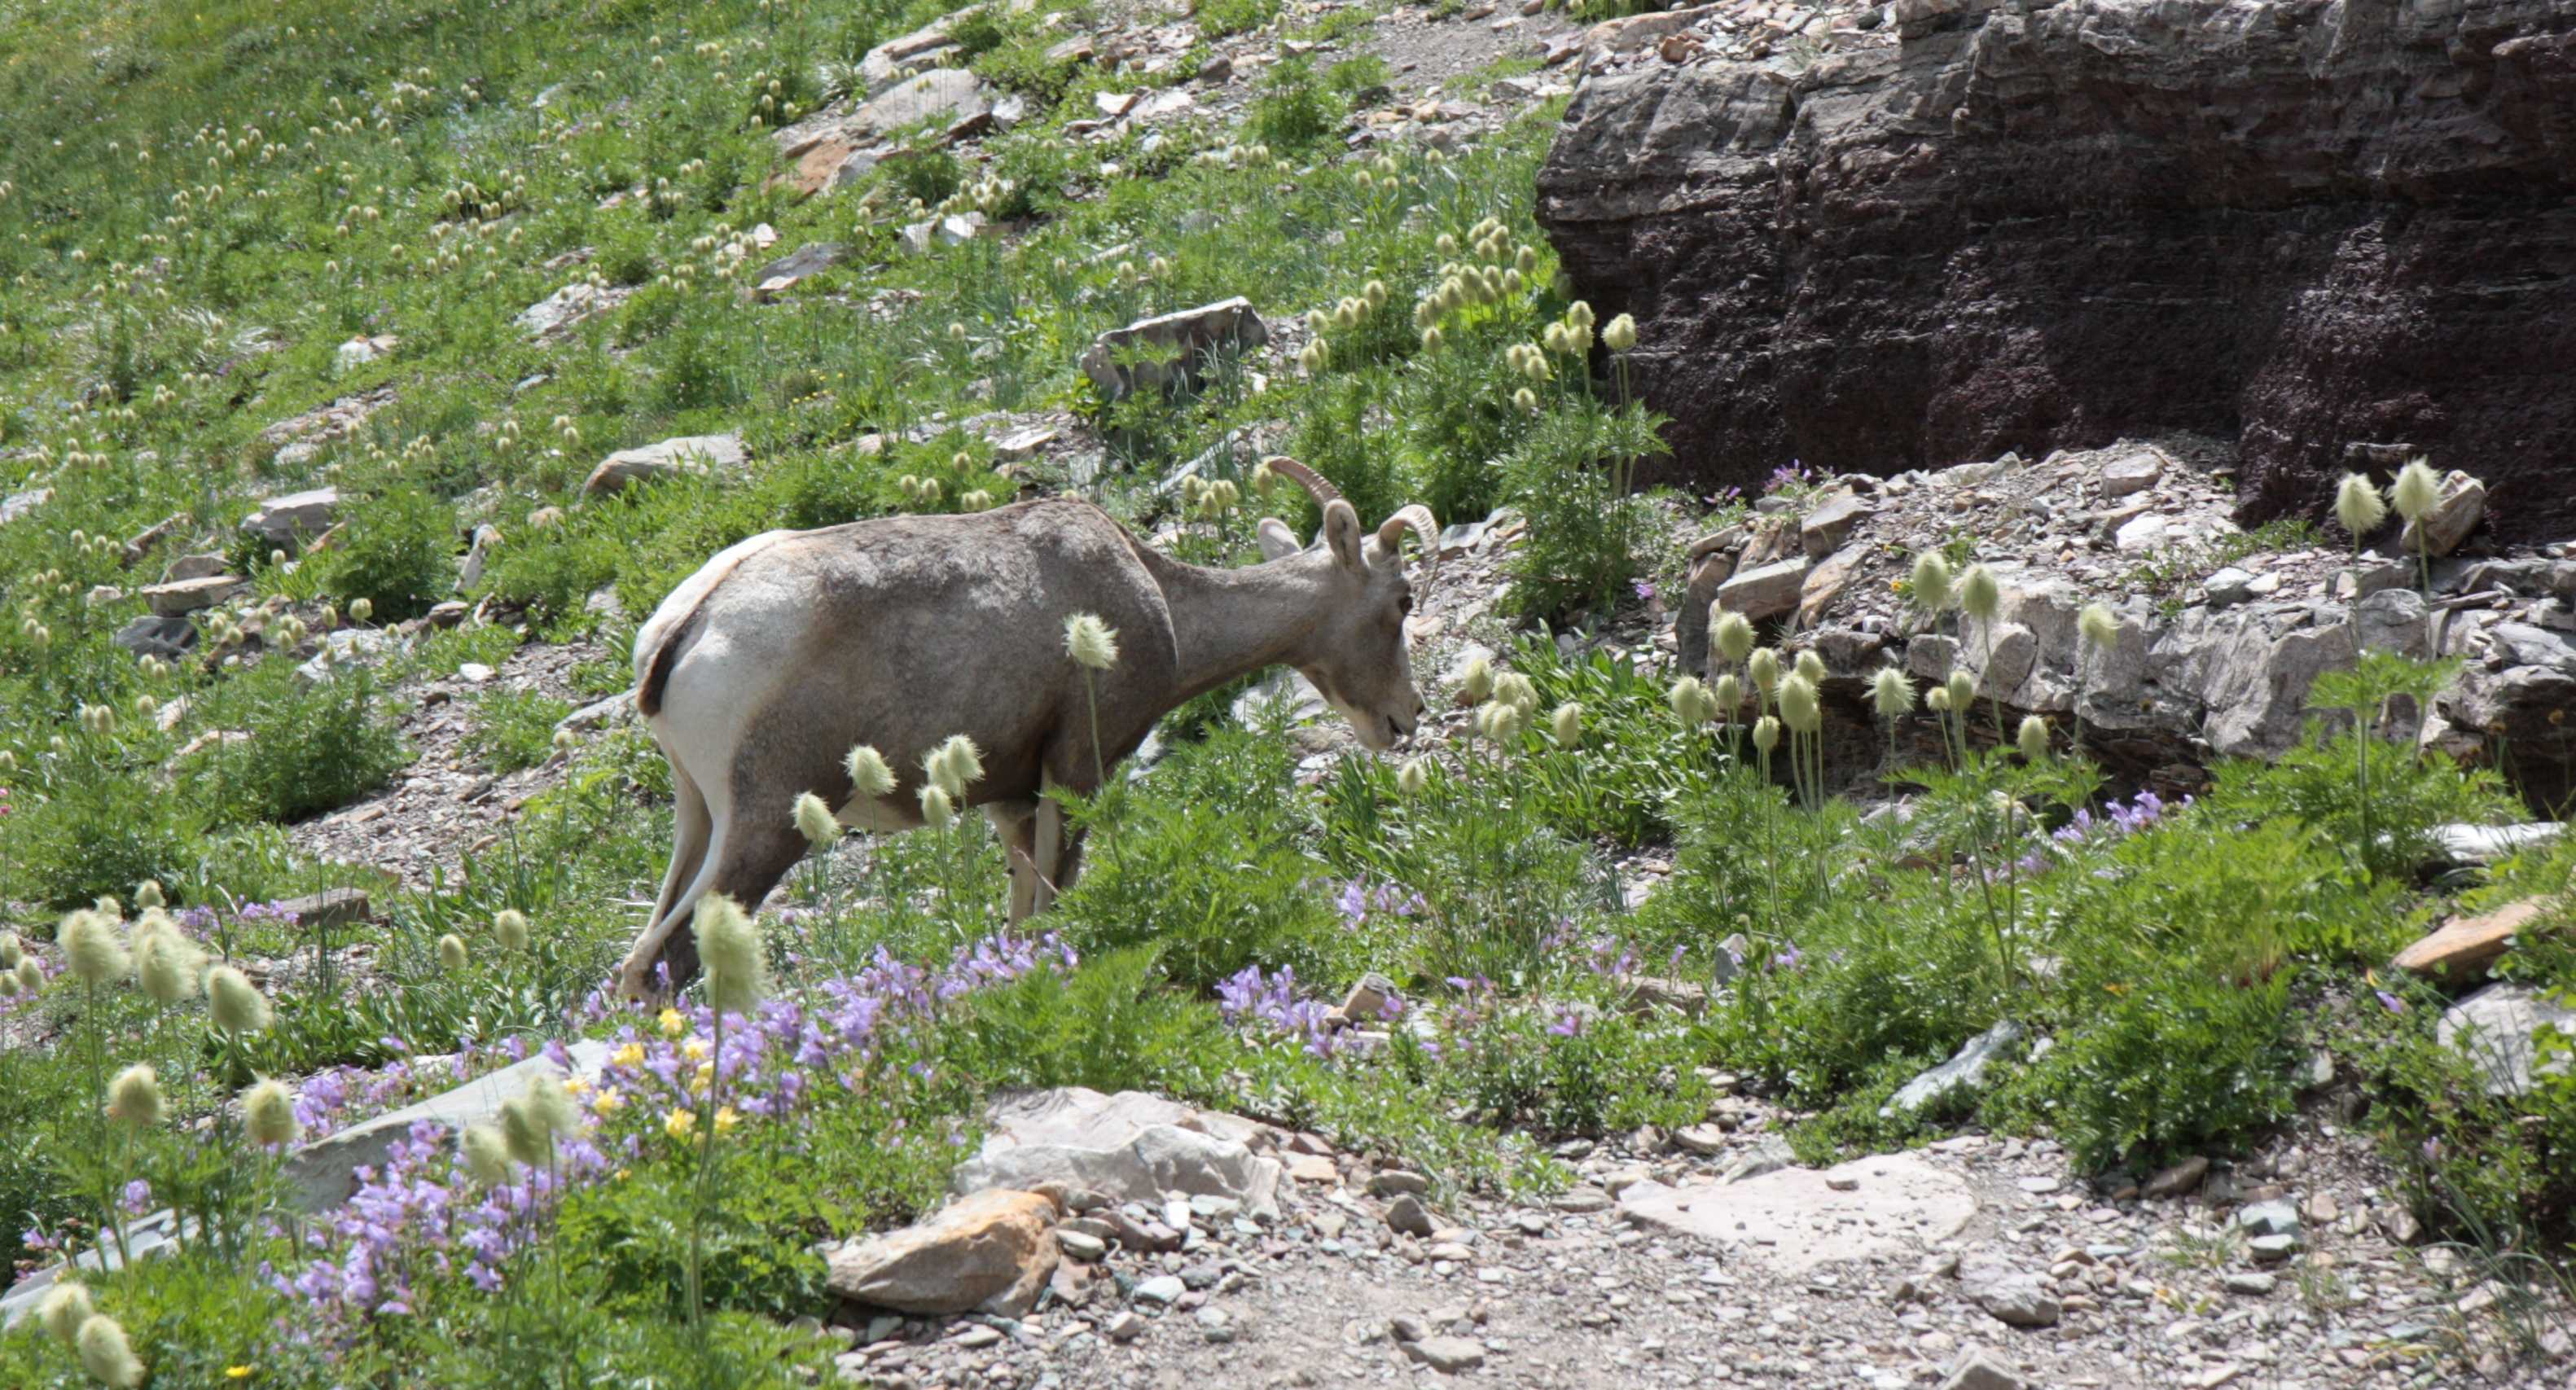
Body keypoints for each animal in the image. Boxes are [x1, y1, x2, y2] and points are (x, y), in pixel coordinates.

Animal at [612, 458, 1442, 998]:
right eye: (1401, 599)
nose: (1404, 718)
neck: (1156, 599)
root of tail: (687, 626)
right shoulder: (1075, 772)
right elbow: (1053, 909)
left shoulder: (1011, 801)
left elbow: (1020, 922)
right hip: (766, 827)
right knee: (665, 960)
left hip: (701, 817)